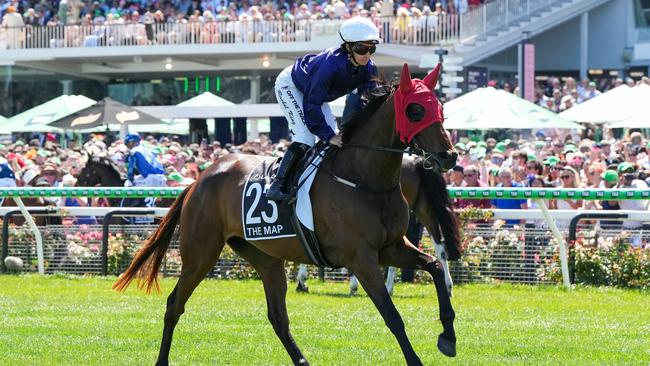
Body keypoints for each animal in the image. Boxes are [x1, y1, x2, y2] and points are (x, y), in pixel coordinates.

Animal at [112, 64, 456, 364]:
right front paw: (419, 357)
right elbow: (392, 315)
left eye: (439, 106)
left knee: (277, 316)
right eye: (415, 111)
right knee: (175, 304)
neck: (364, 178)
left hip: (265, 257)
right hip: (201, 254)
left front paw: (448, 336)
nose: (448, 156)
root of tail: (199, 179)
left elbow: (434, 266)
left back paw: (302, 360)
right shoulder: (361, 257)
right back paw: (161, 360)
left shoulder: (390, 247)